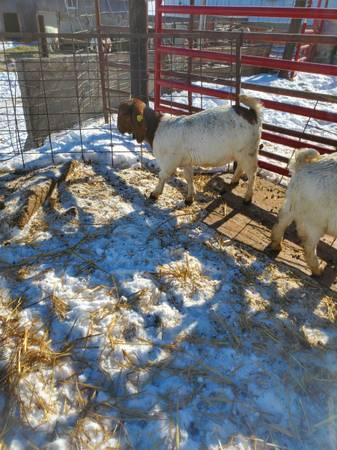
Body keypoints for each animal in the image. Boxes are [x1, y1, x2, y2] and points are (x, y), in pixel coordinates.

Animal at [118, 97, 262, 207]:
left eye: (123, 113)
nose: (118, 128)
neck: (157, 128)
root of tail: (251, 113)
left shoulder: (170, 161)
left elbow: (163, 175)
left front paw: (155, 193)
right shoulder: (185, 161)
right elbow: (188, 177)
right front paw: (189, 198)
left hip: (249, 150)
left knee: (252, 173)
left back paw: (248, 198)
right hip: (242, 151)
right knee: (241, 166)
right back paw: (234, 180)